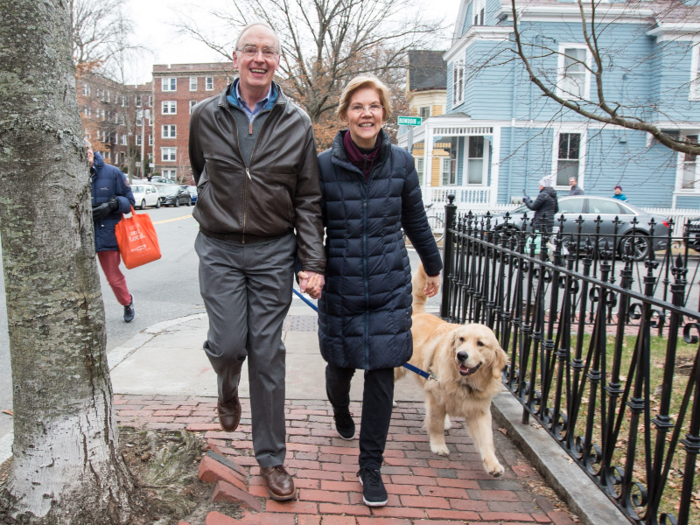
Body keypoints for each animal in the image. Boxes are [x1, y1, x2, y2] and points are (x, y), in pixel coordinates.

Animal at [396, 266, 506, 474]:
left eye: (480, 344)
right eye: (461, 339)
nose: (461, 355)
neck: (464, 383)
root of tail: (417, 314)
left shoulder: (480, 411)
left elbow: (487, 440)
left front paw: (493, 464)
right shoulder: (436, 395)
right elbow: (436, 423)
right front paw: (438, 445)